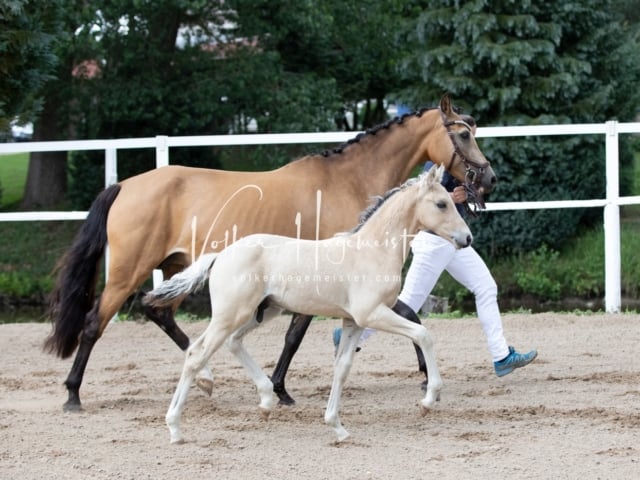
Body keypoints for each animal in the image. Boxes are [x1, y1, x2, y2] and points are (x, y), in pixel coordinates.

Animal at [45, 94, 496, 412]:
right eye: (463, 134)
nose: (488, 178)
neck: (345, 181)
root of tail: (123, 185)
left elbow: (403, 314)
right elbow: (296, 337)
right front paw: (280, 390)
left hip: (175, 268)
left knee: (159, 313)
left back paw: (206, 379)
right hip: (127, 271)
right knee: (94, 324)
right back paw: (73, 395)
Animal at [146, 167, 476, 444]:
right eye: (441, 204)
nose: (467, 238)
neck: (372, 250)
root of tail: (220, 255)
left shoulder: (353, 322)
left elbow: (342, 368)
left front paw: (337, 427)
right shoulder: (373, 314)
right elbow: (423, 335)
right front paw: (428, 400)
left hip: (260, 312)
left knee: (231, 343)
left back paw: (266, 401)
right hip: (231, 314)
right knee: (196, 354)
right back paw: (175, 428)